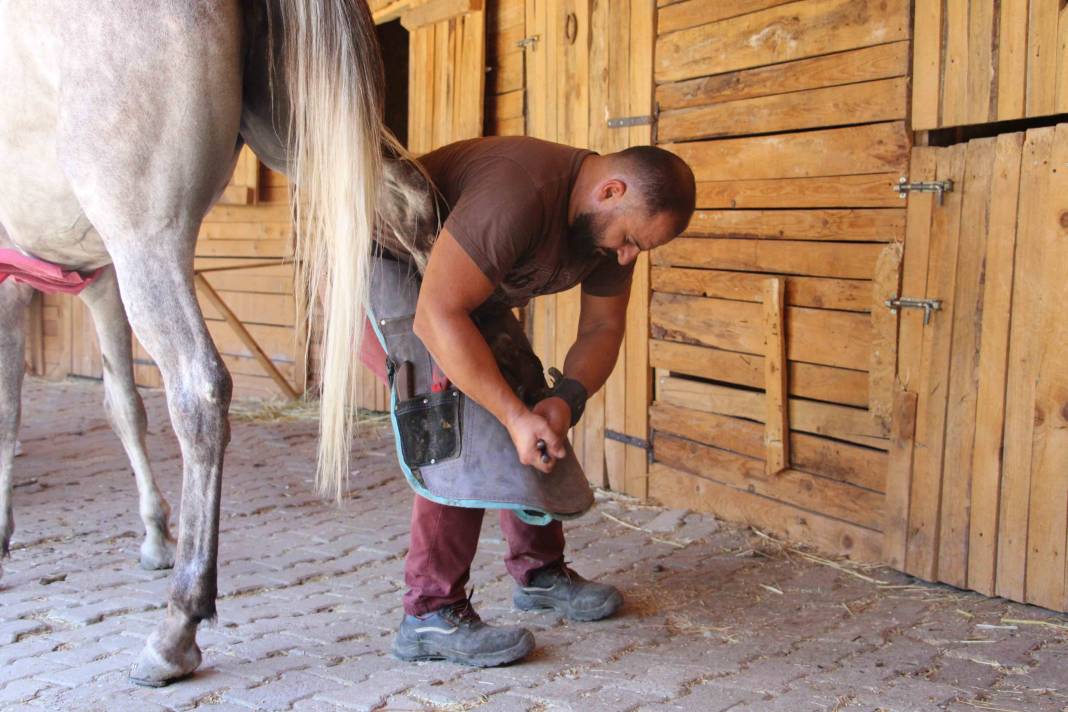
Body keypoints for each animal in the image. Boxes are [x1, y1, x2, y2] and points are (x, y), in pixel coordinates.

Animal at [1, 0, 433, 691]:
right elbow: (123, 407)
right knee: (418, 212)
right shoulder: (99, 281)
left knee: (199, 393)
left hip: (150, 239)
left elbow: (11, 414)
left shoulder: (21, 282)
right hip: (308, 150)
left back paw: (175, 631)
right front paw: (154, 534)